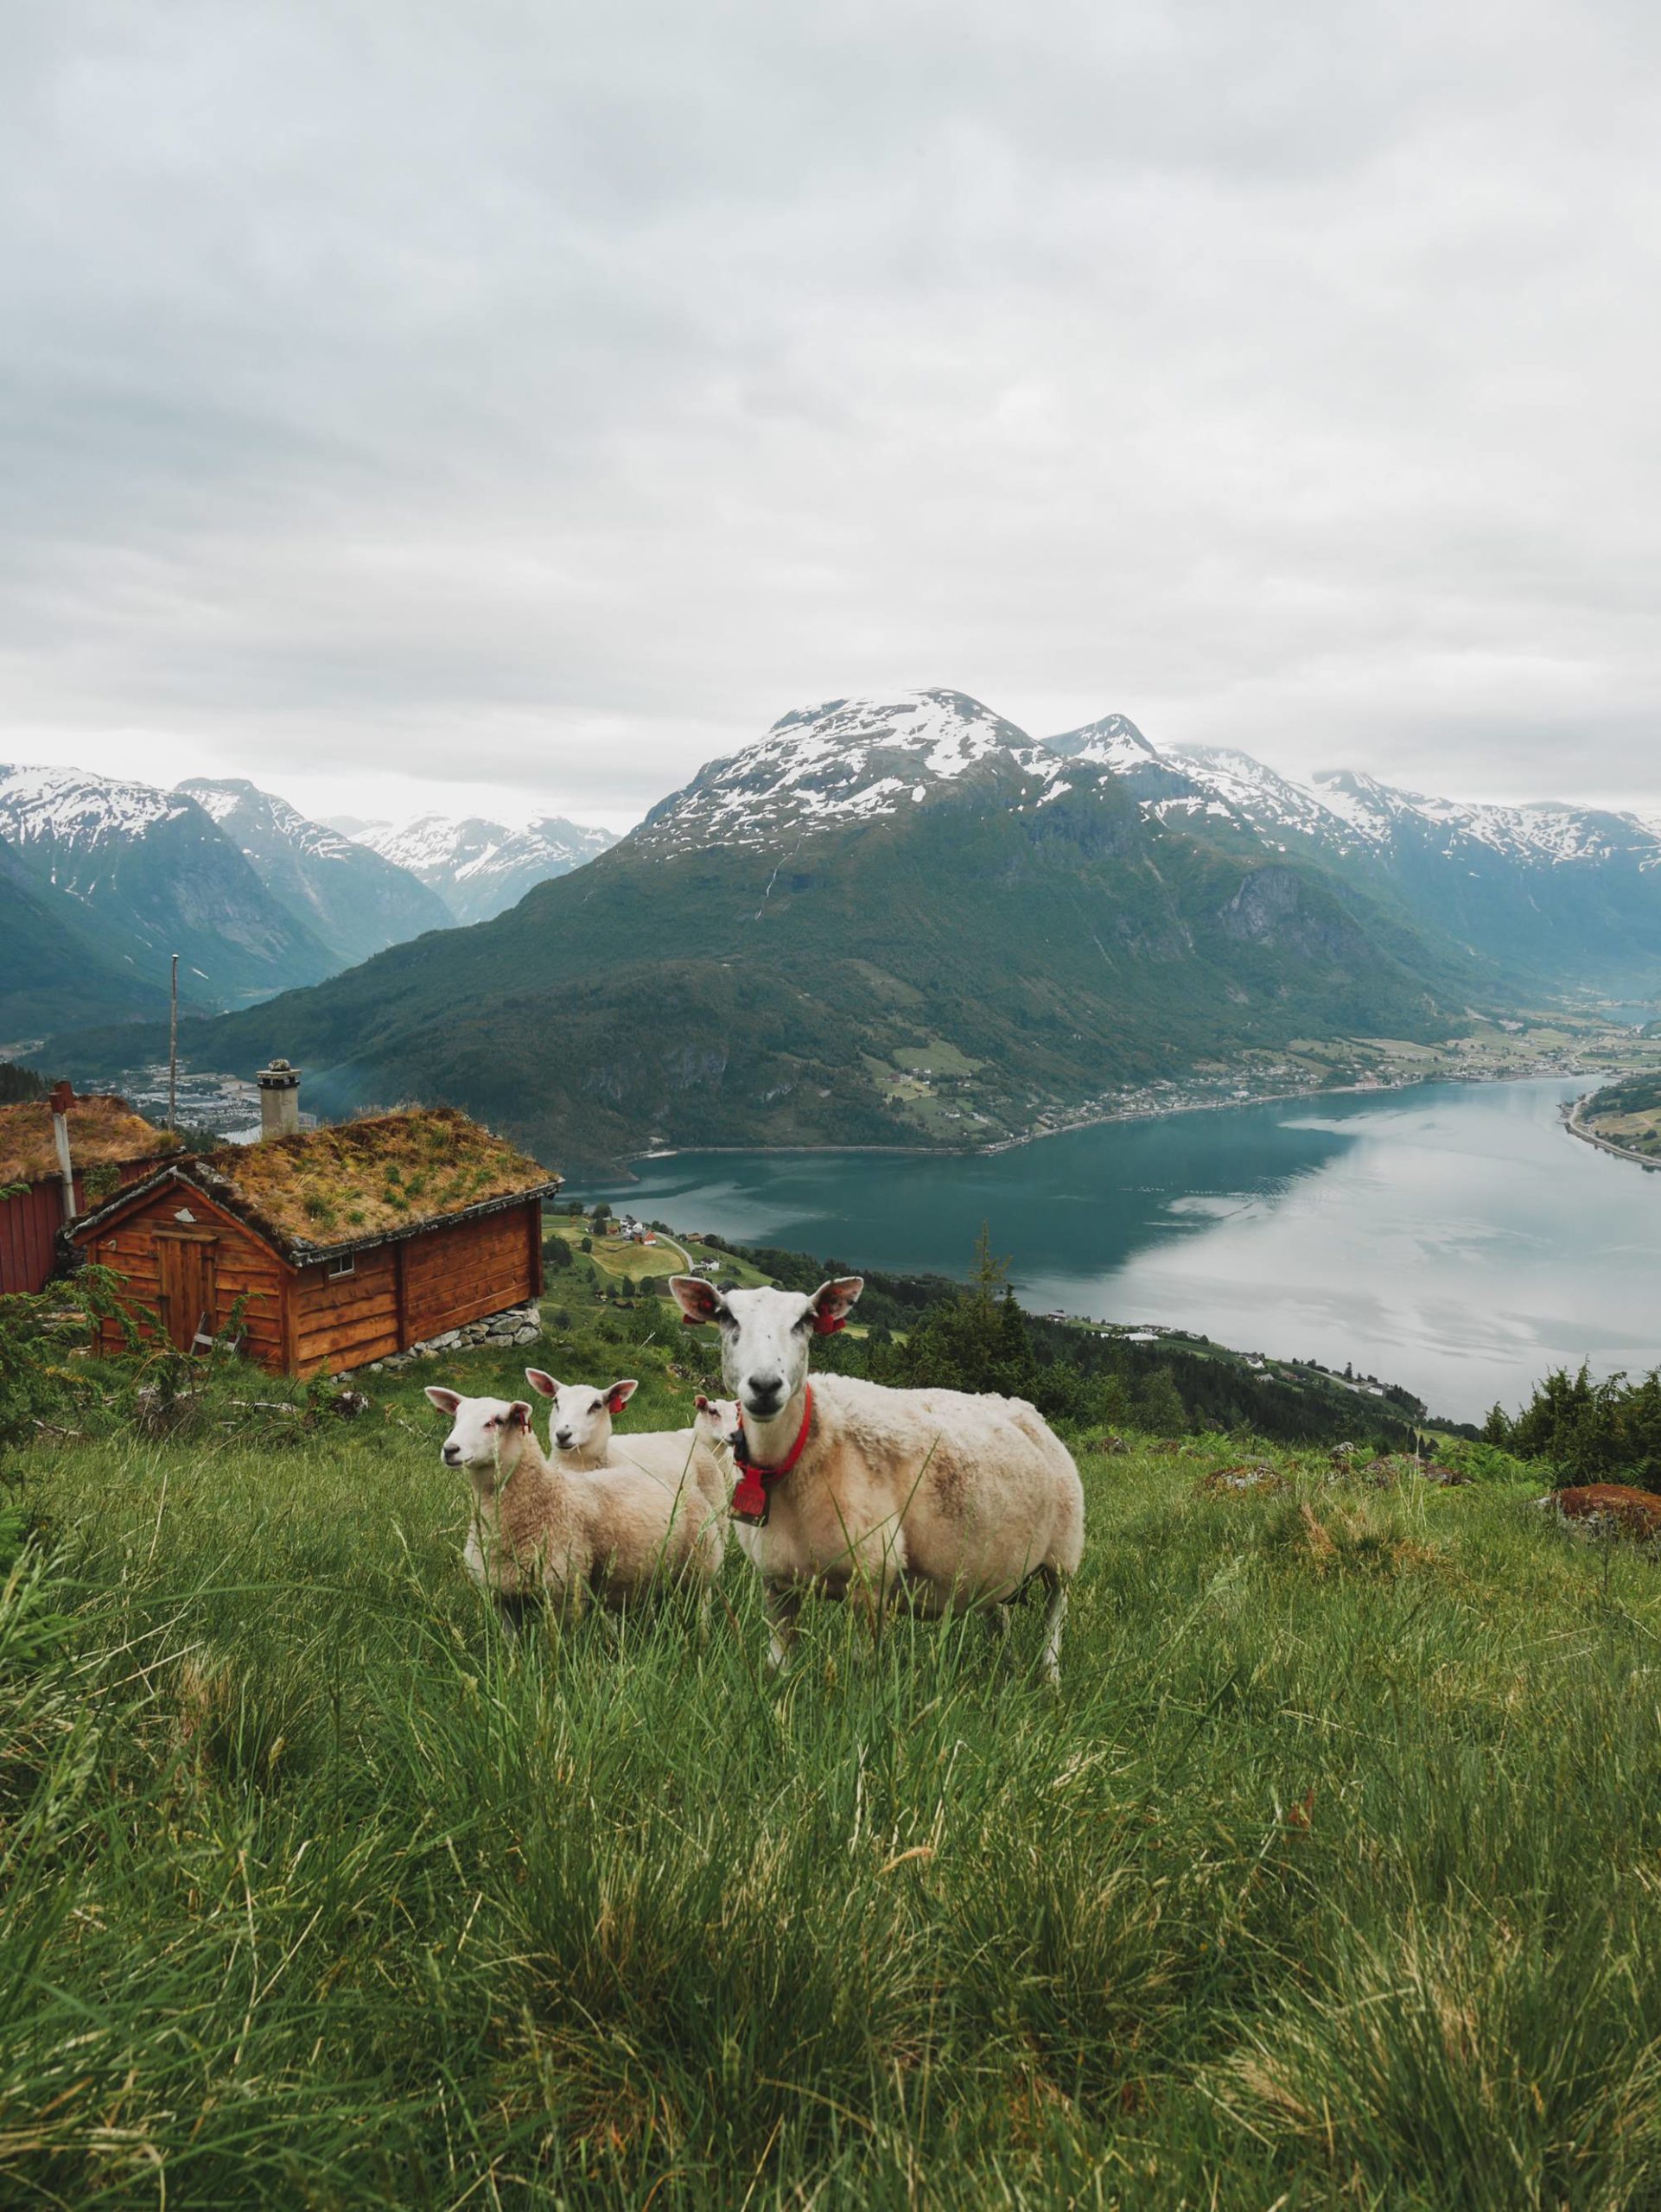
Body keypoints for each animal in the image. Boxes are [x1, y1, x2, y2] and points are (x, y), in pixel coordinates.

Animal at [424, 1380, 725, 1628]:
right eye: (456, 1417)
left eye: (495, 1421)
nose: (450, 1450)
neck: (544, 1499)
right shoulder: (502, 1599)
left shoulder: (566, 1598)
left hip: (702, 1566)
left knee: (703, 1604)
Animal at [667, 1274, 1084, 1681]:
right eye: (726, 1317)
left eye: (805, 1320)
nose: (766, 1386)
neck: (806, 1447)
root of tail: (1026, 1409)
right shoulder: (776, 1582)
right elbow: (776, 1666)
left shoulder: (872, 1576)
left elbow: (860, 1666)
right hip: (997, 1560)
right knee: (1000, 1616)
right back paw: (1005, 1667)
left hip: (1064, 1551)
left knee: (1055, 1615)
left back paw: (1050, 1678)